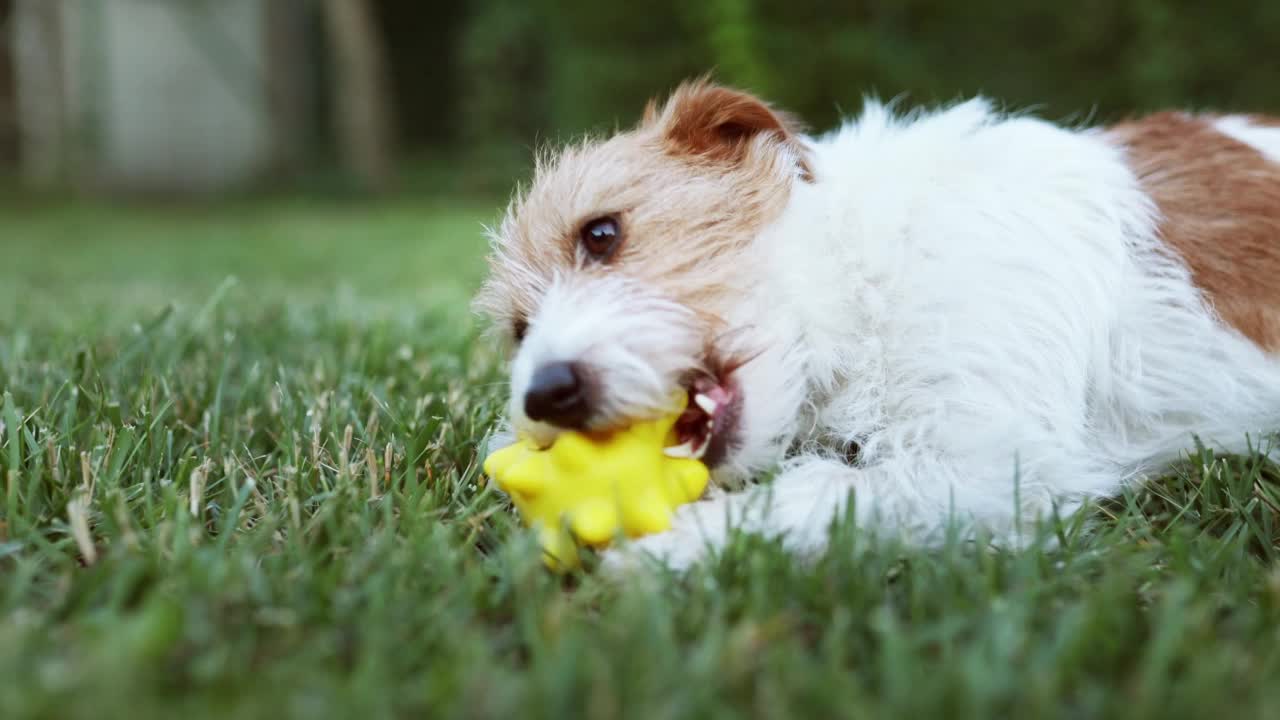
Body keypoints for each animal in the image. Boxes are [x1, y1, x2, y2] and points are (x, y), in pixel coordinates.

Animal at [473, 78, 1280, 568]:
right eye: (519, 330)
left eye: (602, 233)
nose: (546, 393)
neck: (865, 272)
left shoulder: (994, 469)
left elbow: (826, 490)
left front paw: (663, 549)